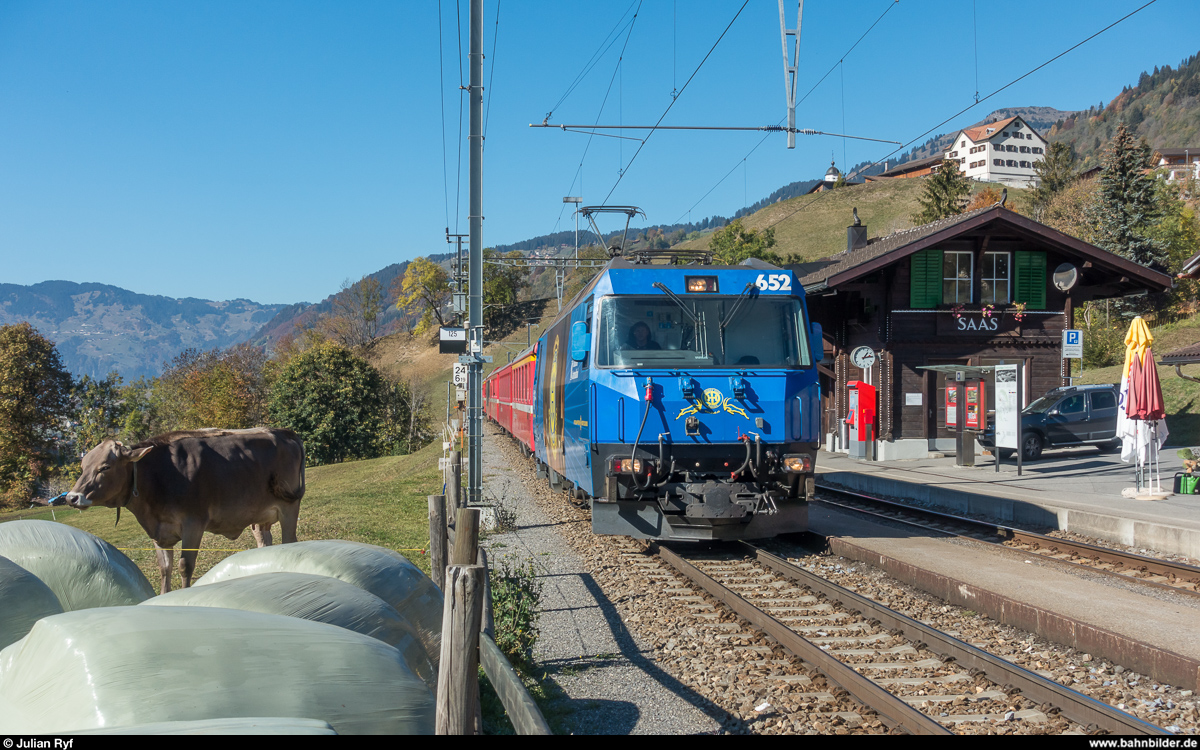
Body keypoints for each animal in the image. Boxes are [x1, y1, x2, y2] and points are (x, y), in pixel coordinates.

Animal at [66, 427, 304, 590]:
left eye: (105, 467)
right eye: (83, 466)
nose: (71, 497)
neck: (157, 476)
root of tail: (283, 432)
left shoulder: (193, 524)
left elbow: (184, 565)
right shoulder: (159, 532)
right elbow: (165, 568)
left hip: (289, 507)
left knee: (289, 541)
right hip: (260, 515)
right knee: (264, 543)